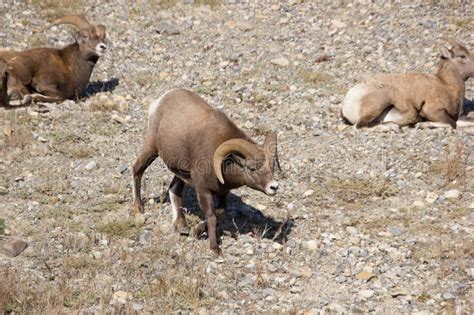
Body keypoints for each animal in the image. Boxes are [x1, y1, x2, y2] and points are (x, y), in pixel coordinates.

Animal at [132, 89, 282, 254]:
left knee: (174, 190)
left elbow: (219, 213)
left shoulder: (222, 193)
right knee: (137, 170)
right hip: (151, 150)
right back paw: (138, 209)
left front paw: (195, 231)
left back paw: (182, 226)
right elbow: (211, 217)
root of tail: (160, 100)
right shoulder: (203, 190)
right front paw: (214, 249)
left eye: (272, 167)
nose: (274, 187)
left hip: (182, 172)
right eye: (252, 168)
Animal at [340, 38, 474, 130]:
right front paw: (423, 125)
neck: (447, 86)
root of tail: (346, 104)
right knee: (359, 127)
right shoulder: (433, 111)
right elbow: (452, 124)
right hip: (382, 103)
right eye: (462, 56)